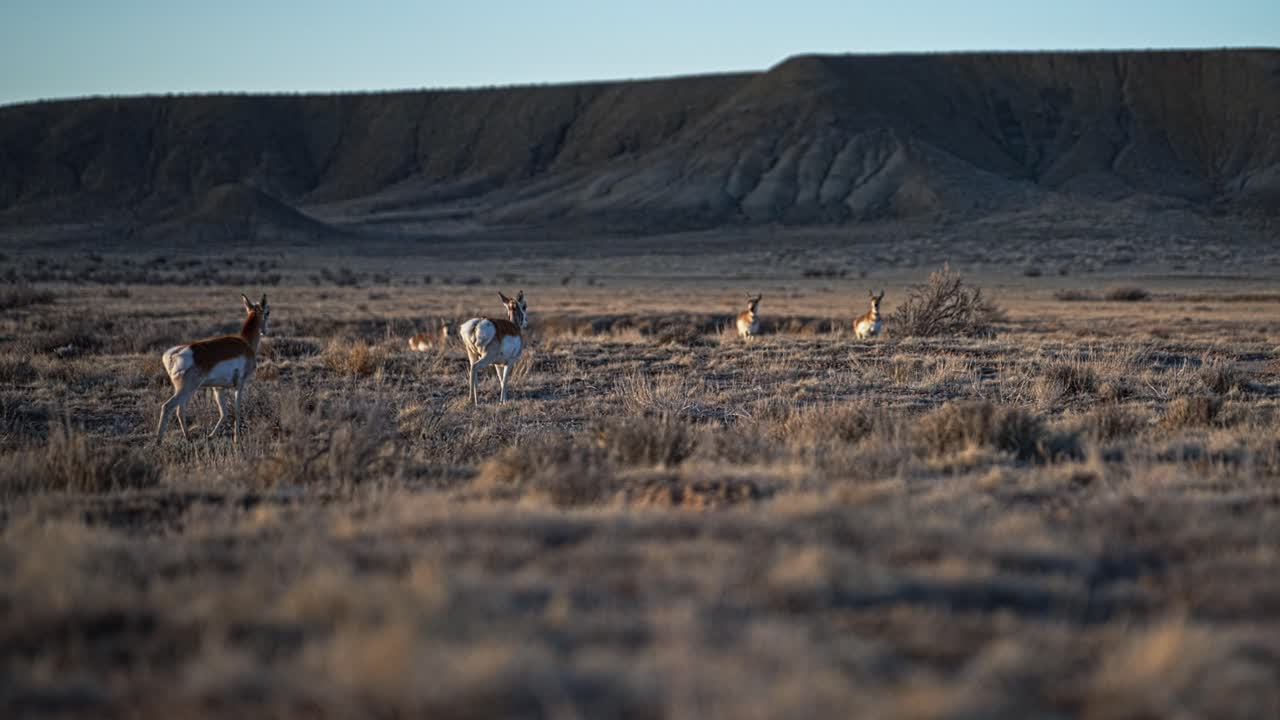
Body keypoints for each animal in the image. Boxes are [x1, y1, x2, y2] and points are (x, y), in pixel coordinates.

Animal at [155, 294, 269, 445]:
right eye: (267, 312)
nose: (266, 331)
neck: (245, 342)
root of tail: (175, 354)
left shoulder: (218, 388)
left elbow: (224, 412)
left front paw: (210, 435)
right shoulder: (240, 384)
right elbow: (237, 409)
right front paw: (236, 439)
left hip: (186, 390)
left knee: (180, 409)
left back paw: (188, 437)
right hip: (187, 389)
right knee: (167, 407)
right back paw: (158, 441)